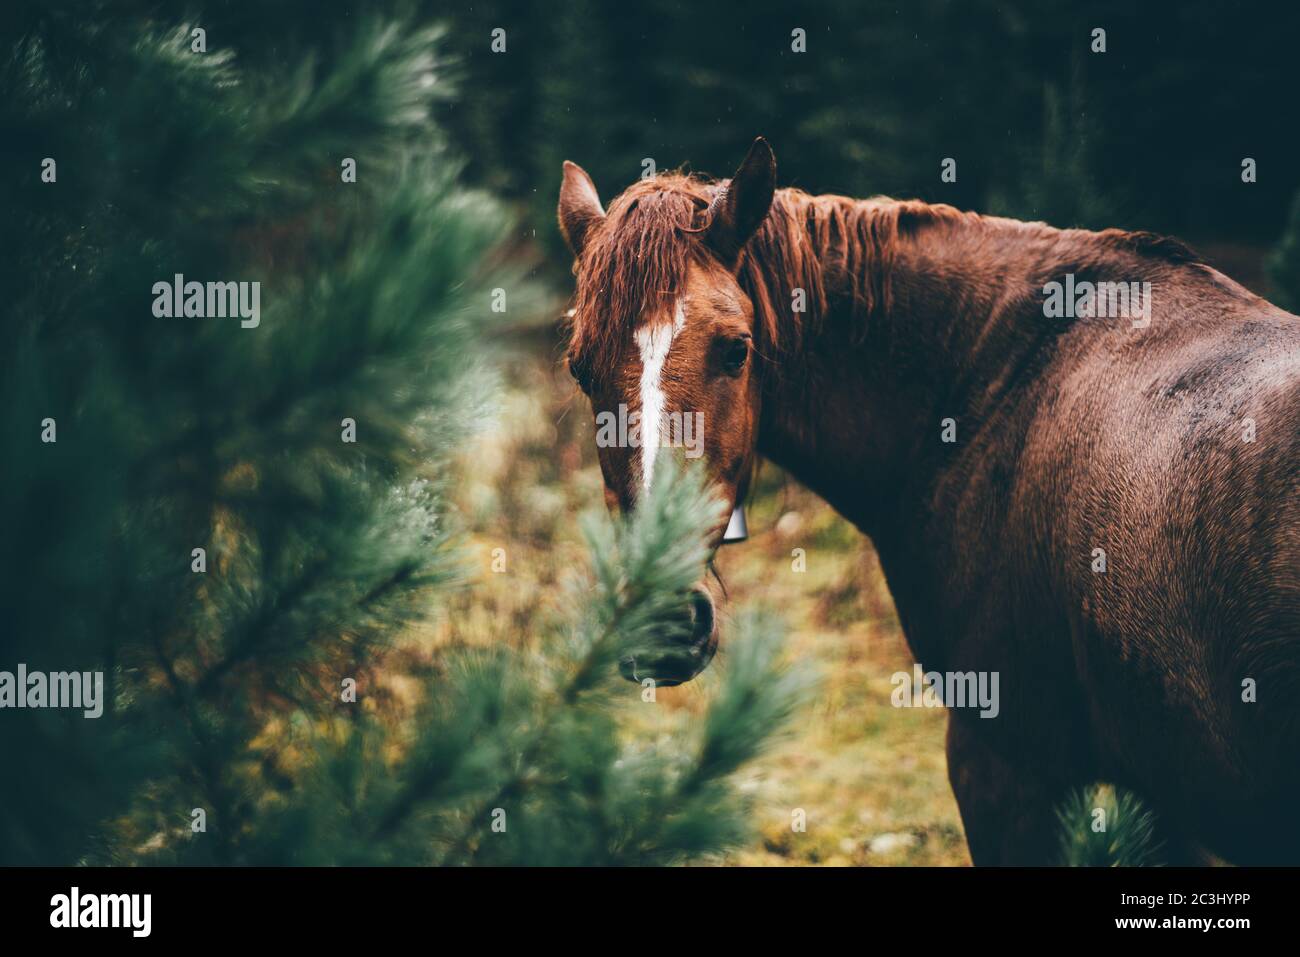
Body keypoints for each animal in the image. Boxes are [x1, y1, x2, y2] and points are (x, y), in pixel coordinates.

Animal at [556, 137, 1300, 865]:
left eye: (736, 349)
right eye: (580, 368)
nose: (658, 619)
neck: (997, 379)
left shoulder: (1002, 766)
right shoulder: (1166, 798)